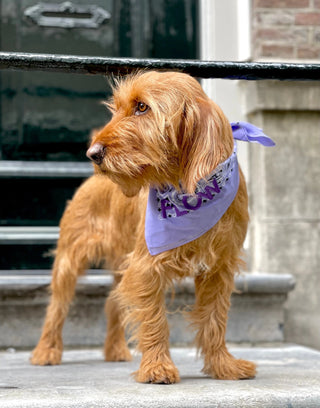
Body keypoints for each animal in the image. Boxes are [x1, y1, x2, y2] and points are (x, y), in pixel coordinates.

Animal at [31, 70, 256, 382]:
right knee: (57, 307)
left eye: (141, 107)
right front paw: (157, 366)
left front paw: (223, 365)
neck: (188, 189)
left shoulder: (219, 269)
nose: (93, 153)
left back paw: (115, 350)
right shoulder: (145, 267)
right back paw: (46, 351)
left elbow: (215, 319)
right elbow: (154, 319)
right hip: (69, 261)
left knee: (112, 302)